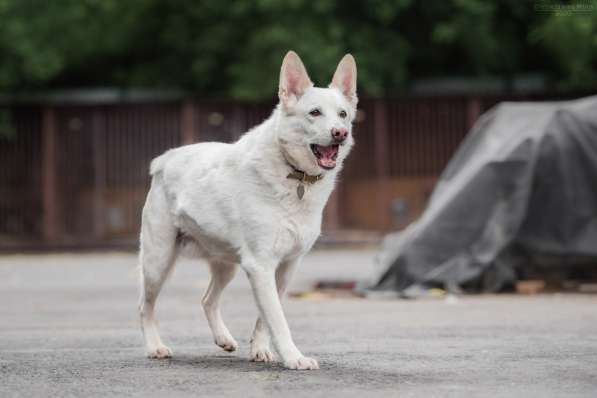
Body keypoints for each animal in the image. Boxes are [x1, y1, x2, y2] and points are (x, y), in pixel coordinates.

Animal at [137, 50, 356, 370]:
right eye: (314, 113)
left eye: (343, 115)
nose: (340, 133)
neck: (293, 175)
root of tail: (166, 159)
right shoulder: (261, 265)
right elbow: (278, 319)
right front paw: (294, 358)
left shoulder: (286, 267)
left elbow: (265, 318)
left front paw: (261, 350)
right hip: (158, 262)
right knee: (145, 306)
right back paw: (155, 347)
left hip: (226, 265)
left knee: (207, 300)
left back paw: (223, 339)